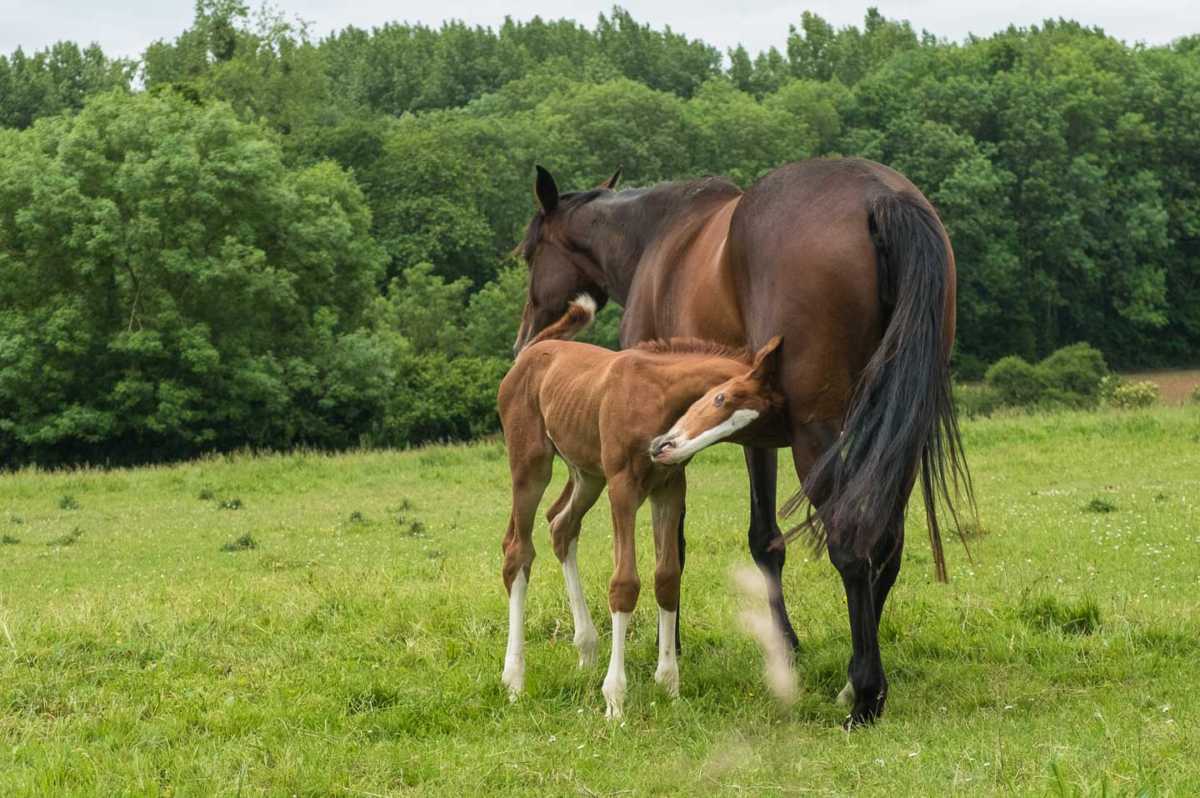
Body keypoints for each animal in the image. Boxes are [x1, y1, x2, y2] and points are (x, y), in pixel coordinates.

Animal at [494, 297, 782, 715]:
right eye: (720, 397)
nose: (665, 446)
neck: (657, 395)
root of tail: (531, 351)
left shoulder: (669, 487)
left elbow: (667, 578)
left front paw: (670, 685)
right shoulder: (623, 486)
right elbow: (625, 583)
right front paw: (615, 699)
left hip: (587, 474)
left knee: (561, 525)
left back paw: (586, 648)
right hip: (531, 464)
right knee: (518, 550)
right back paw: (514, 679)